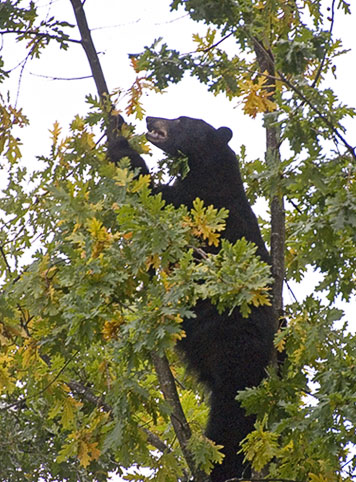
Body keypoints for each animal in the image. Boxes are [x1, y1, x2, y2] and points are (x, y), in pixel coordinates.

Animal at [112, 115, 274, 480]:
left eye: (182, 119)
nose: (150, 118)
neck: (209, 167)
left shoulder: (200, 205)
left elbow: (150, 195)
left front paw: (116, 132)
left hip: (235, 354)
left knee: (229, 422)